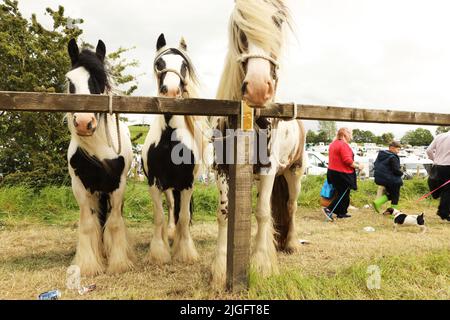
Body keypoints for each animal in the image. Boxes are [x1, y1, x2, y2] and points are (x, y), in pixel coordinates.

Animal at [65, 38, 134, 276]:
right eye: (70, 80)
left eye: (99, 81)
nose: (84, 122)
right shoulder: (80, 186)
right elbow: (88, 224)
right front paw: (88, 265)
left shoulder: (118, 185)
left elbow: (114, 223)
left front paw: (118, 263)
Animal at [142, 33, 209, 264]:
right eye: (159, 64)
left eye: (184, 65)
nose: (170, 91)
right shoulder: (154, 183)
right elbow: (159, 216)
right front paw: (159, 251)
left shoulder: (187, 183)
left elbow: (185, 216)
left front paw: (185, 251)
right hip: (168, 186)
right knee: (171, 207)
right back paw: (170, 234)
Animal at [211, 0, 306, 288]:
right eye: (239, 25)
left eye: (278, 21)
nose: (257, 88)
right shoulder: (221, 170)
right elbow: (224, 214)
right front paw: (219, 269)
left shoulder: (268, 169)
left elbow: (263, 212)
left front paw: (263, 264)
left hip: (293, 173)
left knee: (291, 206)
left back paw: (290, 243)